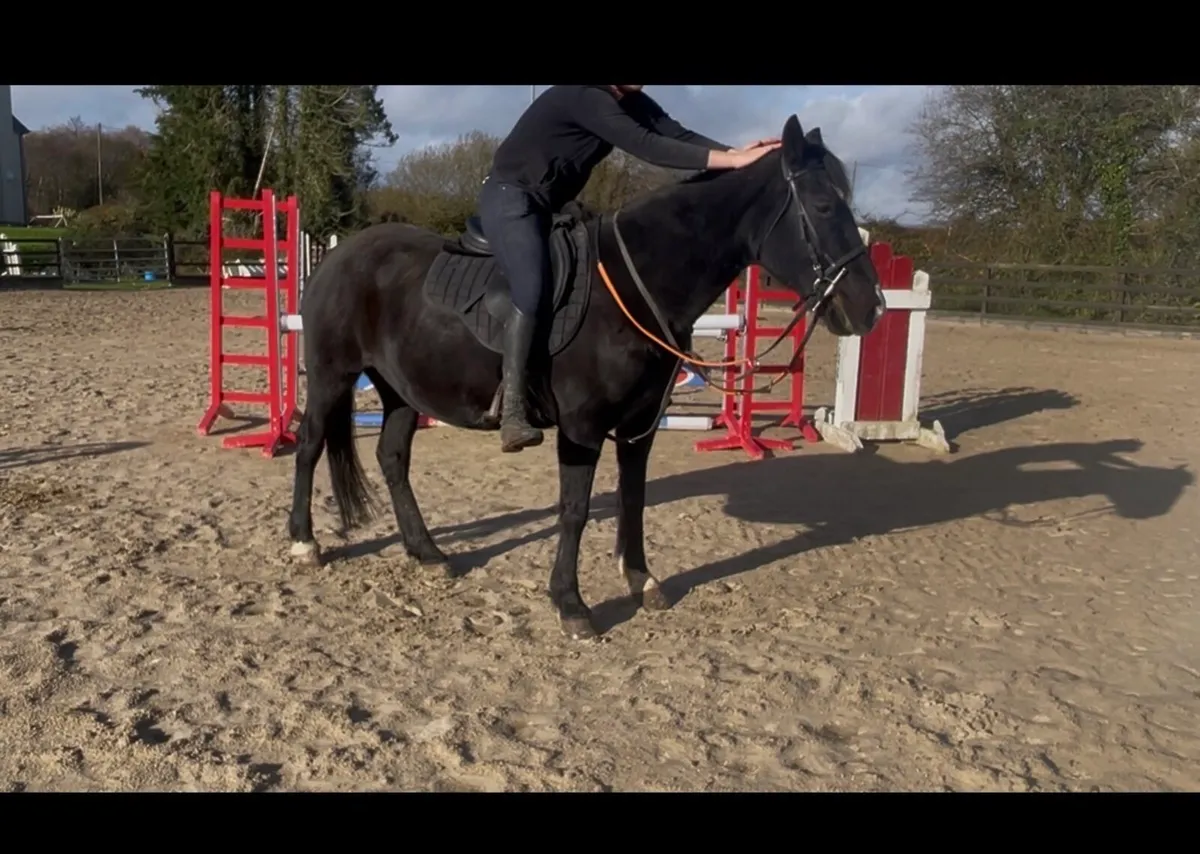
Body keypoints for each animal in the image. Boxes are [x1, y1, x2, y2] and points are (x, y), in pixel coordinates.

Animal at [287, 114, 887, 641]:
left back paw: (427, 552)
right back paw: (303, 543)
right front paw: (570, 604)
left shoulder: (639, 426)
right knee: (310, 445)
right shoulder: (582, 428)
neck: (633, 284)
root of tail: (339, 256)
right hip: (333, 376)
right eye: (824, 205)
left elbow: (632, 498)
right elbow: (574, 510)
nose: (872, 307)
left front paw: (641, 579)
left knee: (393, 459)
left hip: (401, 391)